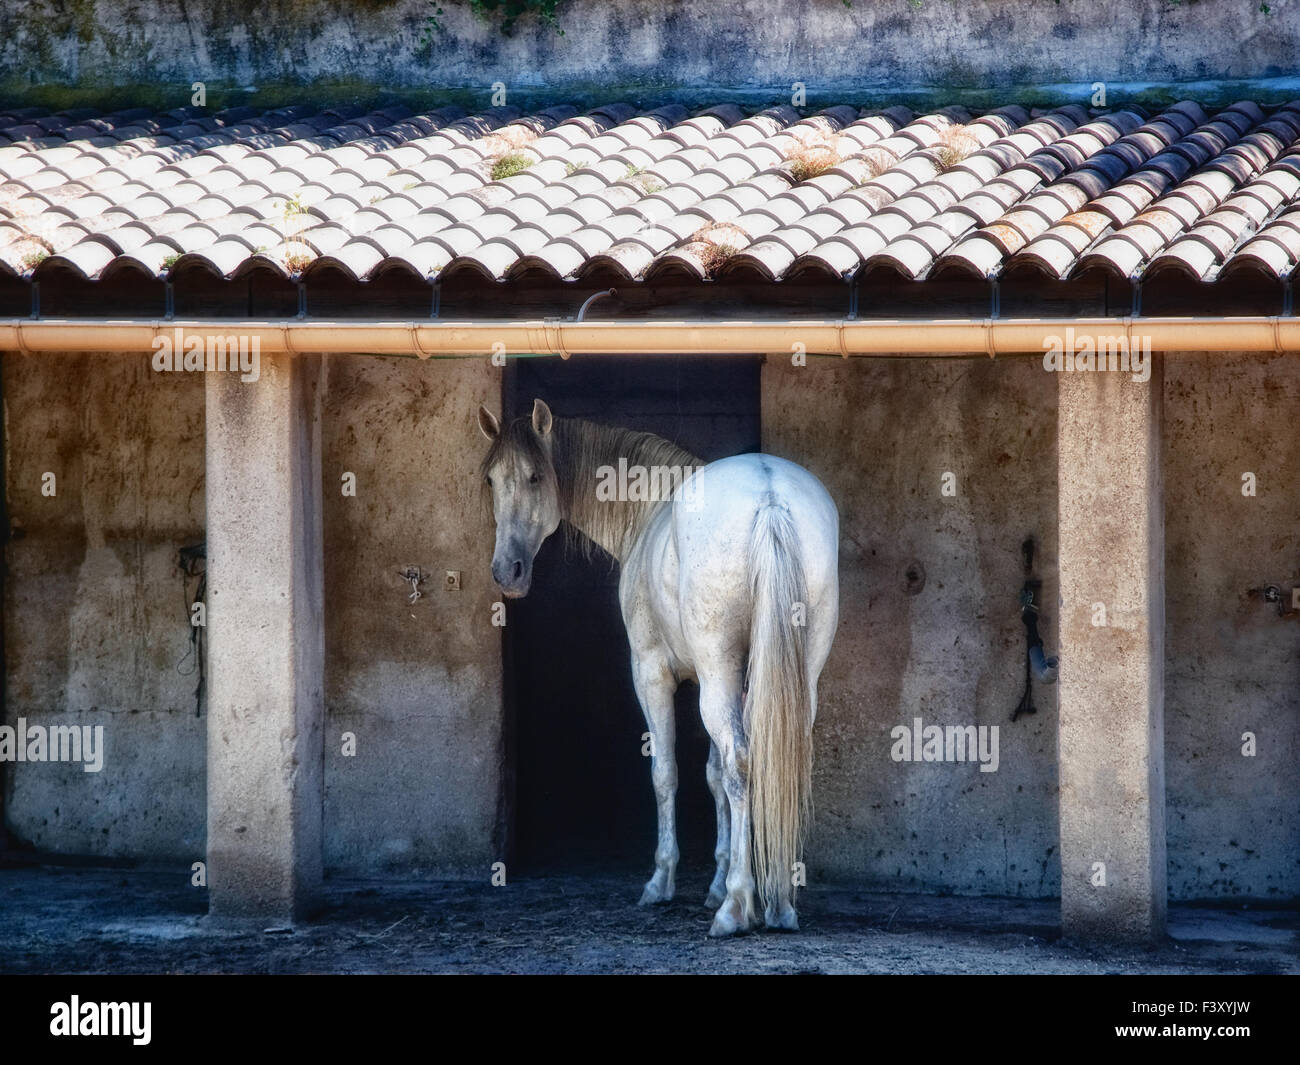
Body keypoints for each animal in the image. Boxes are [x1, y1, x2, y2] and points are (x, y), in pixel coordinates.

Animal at [480, 397, 842, 931]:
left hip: (715, 672)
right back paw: (777, 904)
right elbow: (714, 776)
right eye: (490, 479)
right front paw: (715, 883)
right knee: (773, 758)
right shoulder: (736, 681)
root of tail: (771, 499)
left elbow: (667, 773)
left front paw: (664, 882)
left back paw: (738, 905)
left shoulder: (653, 674)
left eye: (534, 476)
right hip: (786, 676)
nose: (508, 572)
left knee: (741, 760)